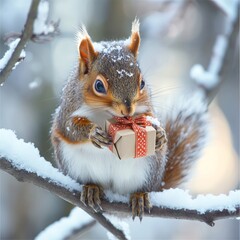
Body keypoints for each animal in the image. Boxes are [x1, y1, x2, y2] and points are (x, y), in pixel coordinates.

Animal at [50, 19, 208, 220]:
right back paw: (92, 188)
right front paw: (94, 133)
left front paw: (159, 134)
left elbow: (153, 120)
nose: (128, 109)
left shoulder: (147, 109)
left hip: (149, 168)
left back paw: (140, 196)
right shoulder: (67, 110)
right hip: (73, 164)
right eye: (99, 86)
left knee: (140, 188)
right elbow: (70, 128)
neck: (109, 115)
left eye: (142, 83)